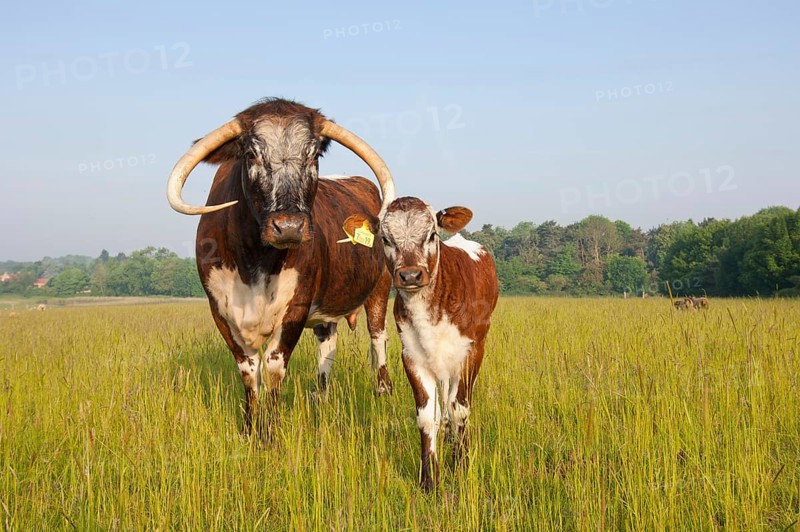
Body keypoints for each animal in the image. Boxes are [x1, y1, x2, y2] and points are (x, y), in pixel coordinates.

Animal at [166, 98, 397, 435]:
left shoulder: (296, 308)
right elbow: (249, 371)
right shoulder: (220, 311)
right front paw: (250, 429)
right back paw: (319, 397)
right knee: (327, 345)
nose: (288, 227)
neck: (255, 263)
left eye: (313, 155)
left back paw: (383, 390)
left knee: (378, 338)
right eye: (251, 154)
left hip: (380, 289)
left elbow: (274, 368)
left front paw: (270, 432)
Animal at [351, 197, 499, 490]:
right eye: (385, 238)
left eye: (431, 234)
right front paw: (429, 479)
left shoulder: (470, 353)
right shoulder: (413, 357)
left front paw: (460, 465)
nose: (410, 275)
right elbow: (427, 415)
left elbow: (459, 409)